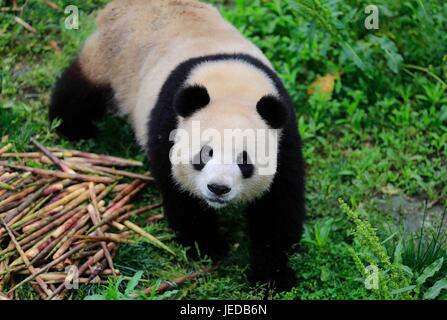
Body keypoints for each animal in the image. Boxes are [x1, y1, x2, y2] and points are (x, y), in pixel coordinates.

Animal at [50, 0, 308, 292]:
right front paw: (208, 245)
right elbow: (180, 192)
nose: (218, 189)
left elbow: (277, 208)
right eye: (205, 154)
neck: (232, 88)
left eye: (244, 162)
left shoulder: (283, 133)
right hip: (111, 56)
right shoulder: (170, 122)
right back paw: (70, 127)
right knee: (81, 90)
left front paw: (273, 276)